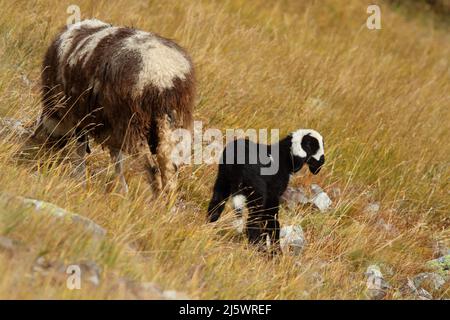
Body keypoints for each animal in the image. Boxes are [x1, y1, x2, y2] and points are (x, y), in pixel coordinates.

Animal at [34, 19, 196, 192]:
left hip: (133, 125)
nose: (47, 156)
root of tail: (162, 78)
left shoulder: (81, 116)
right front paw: (122, 190)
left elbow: (82, 150)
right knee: (170, 167)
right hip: (173, 125)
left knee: (152, 169)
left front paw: (80, 178)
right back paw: (166, 198)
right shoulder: (109, 129)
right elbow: (117, 160)